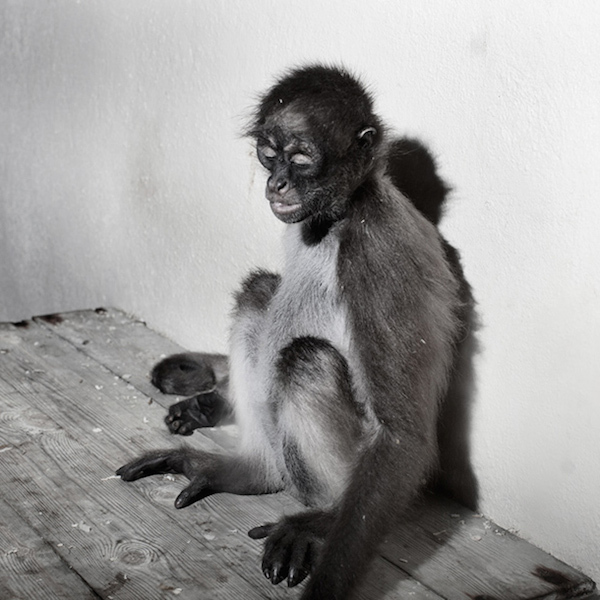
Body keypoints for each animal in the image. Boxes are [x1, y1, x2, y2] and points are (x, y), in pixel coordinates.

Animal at [118, 65, 478, 600]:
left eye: (302, 159)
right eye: (268, 155)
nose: (278, 182)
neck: (340, 214)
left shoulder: (373, 244)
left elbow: (401, 434)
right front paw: (202, 388)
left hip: (345, 463)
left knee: (305, 357)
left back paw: (319, 512)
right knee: (259, 292)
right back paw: (252, 470)